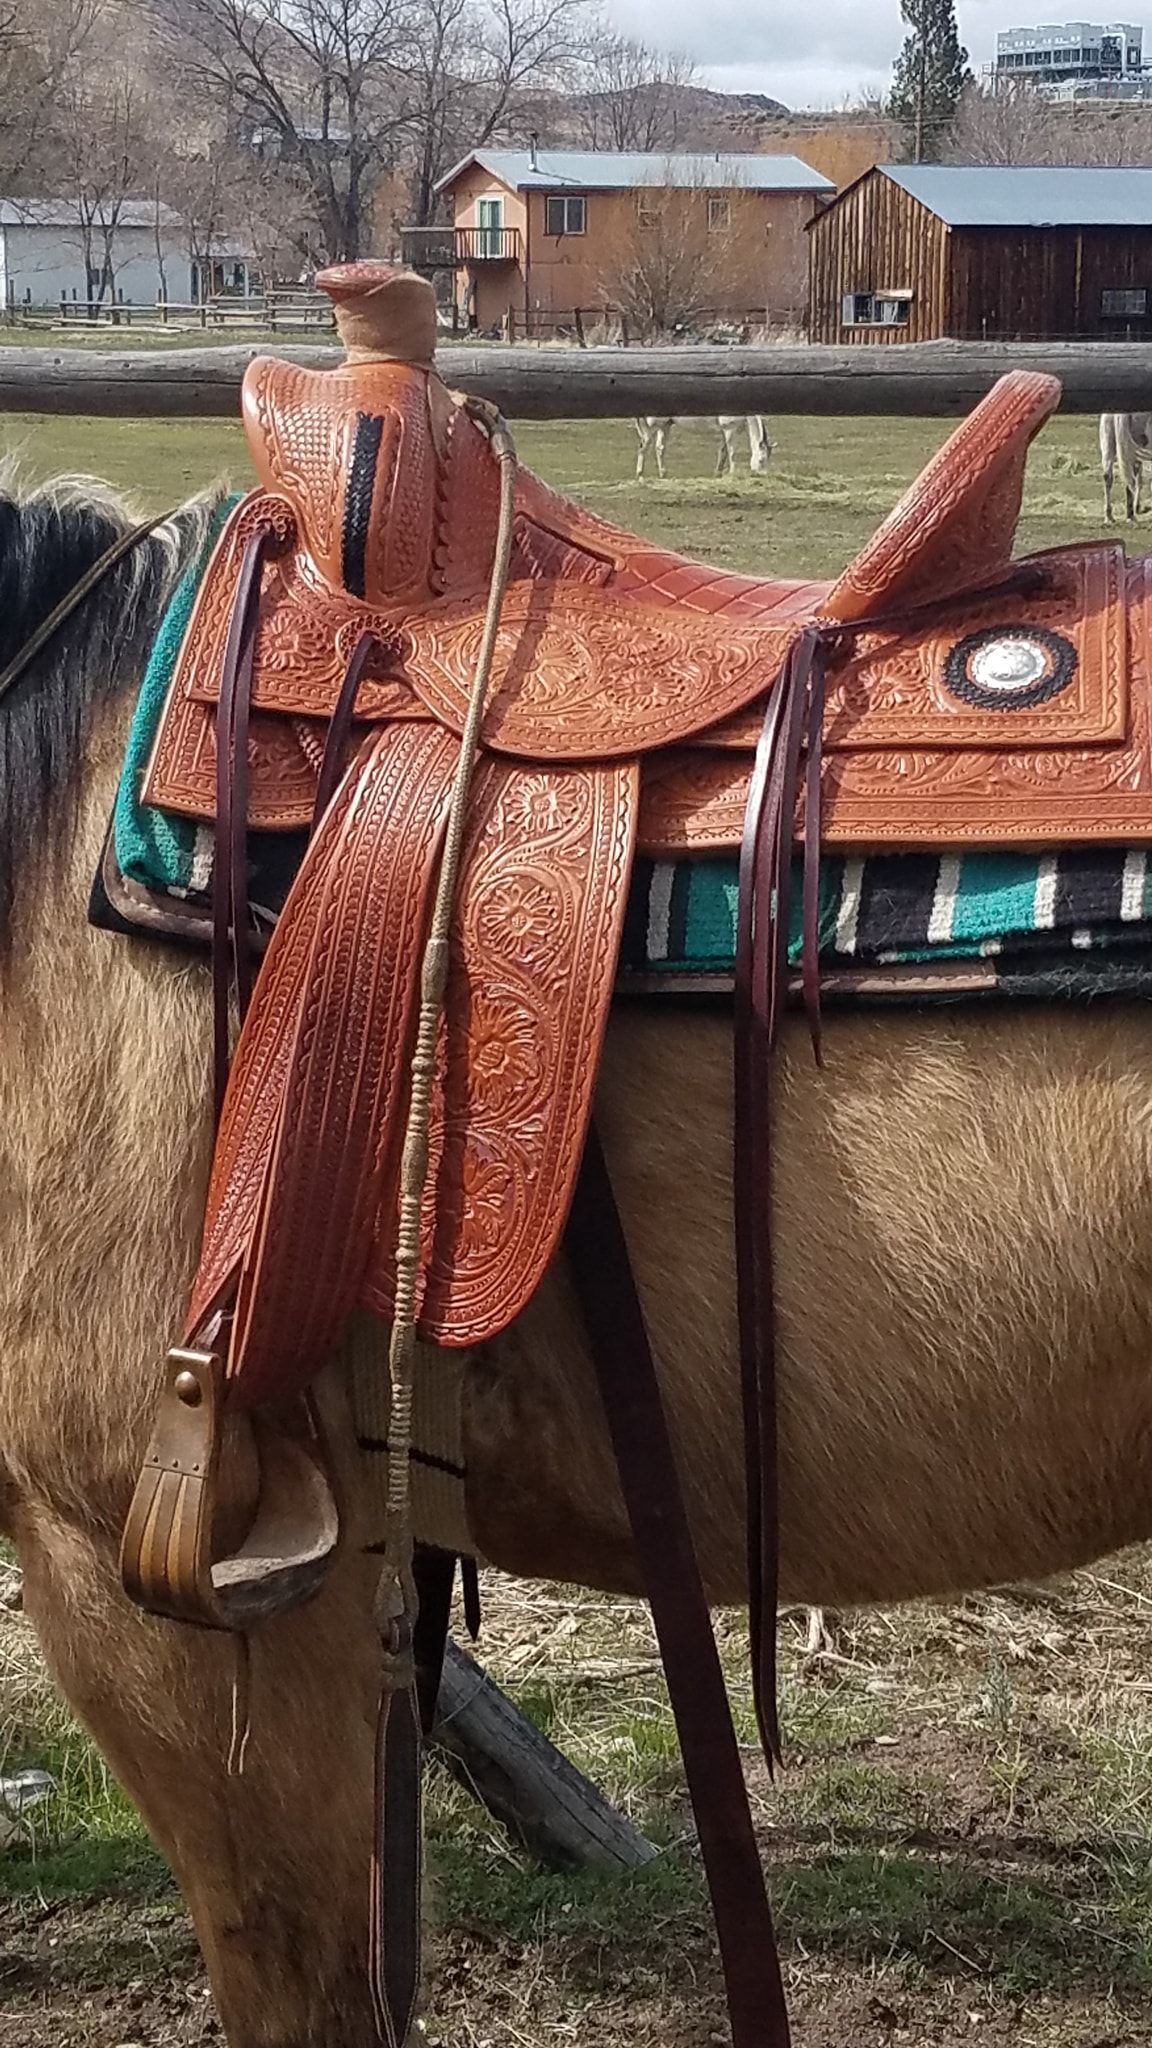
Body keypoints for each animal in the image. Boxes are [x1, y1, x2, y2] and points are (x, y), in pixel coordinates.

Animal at [634, 413, 773, 480]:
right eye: (761, 460)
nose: (762, 475)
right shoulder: (729, 430)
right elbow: (732, 453)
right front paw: (732, 473)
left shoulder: (726, 432)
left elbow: (723, 452)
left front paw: (718, 473)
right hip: (653, 426)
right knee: (643, 447)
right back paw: (640, 475)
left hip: (665, 425)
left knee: (660, 448)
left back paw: (663, 474)